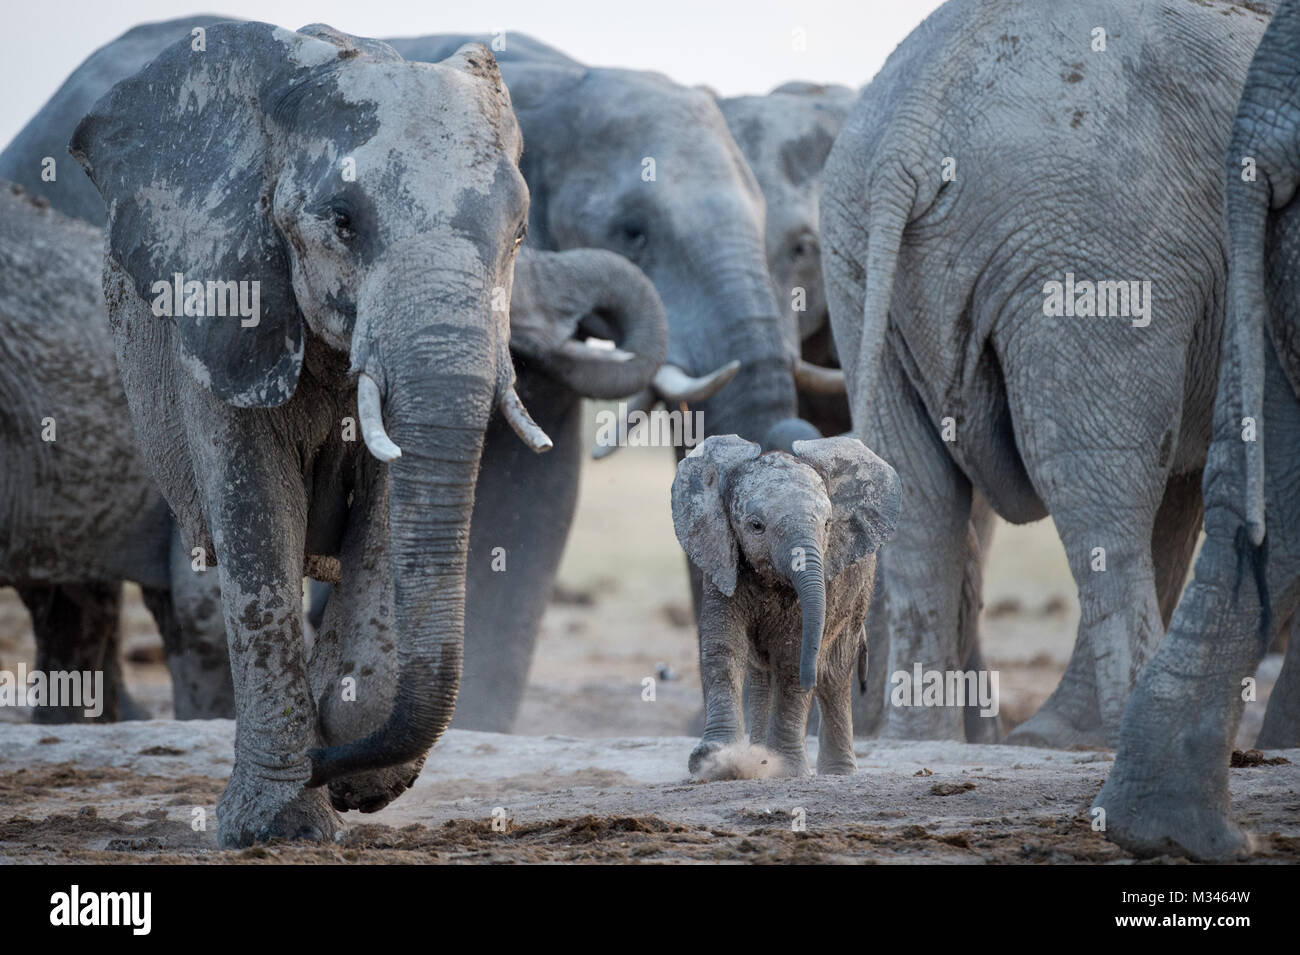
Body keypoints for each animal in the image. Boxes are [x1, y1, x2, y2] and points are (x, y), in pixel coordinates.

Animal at [676, 436, 899, 779]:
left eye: (827, 524)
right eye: (756, 526)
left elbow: (793, 657)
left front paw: (785, 769)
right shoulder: (720, 561)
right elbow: (722, 647)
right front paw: (714, 761)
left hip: (860, 593)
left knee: (834, 675)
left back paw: (837, 772)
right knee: (762, 676)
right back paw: (758, 757)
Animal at [821, 0, 1268, 748]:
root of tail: (912, 129)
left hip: (856, 258)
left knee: (917, 491)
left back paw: (928, 739)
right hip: (1095, 253)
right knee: (1100, 483)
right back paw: (1119, 732)